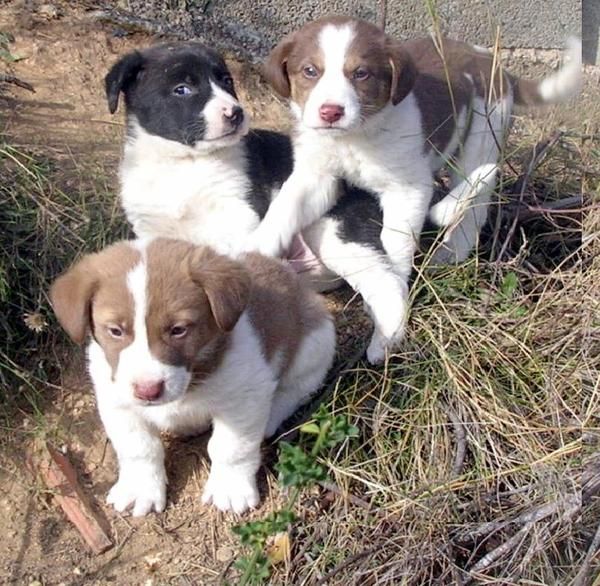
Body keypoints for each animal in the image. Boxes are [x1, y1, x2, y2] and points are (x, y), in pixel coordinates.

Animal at [49, 236, 336, 512]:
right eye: (115, 331)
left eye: (178, 330)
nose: (147, 391)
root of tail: (284, 268)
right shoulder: (117, 401)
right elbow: (139, 448)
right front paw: (141, 488)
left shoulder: (243, 399)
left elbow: (231, 447)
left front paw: (229, 488)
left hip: (315, 347)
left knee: (296, 389)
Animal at [106, 42, 408, 360]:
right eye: (182, 89)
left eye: (227, 81)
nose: (236, 113)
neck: (183, 163)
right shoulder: (151, 230)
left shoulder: (239, 217)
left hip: (337, 234)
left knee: (387, 284)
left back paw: (384, 343)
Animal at [248, 16, 580, 360]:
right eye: (310, 71)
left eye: (361, 73)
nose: (330, 112)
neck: (355, 136)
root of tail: (495, 64)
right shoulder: (316, 176)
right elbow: (284, 209)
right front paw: (253, 249)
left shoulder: (408, 190)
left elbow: (395, 247)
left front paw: (391, 311)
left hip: (484, 131)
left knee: (478, 191)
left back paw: (451, 244)